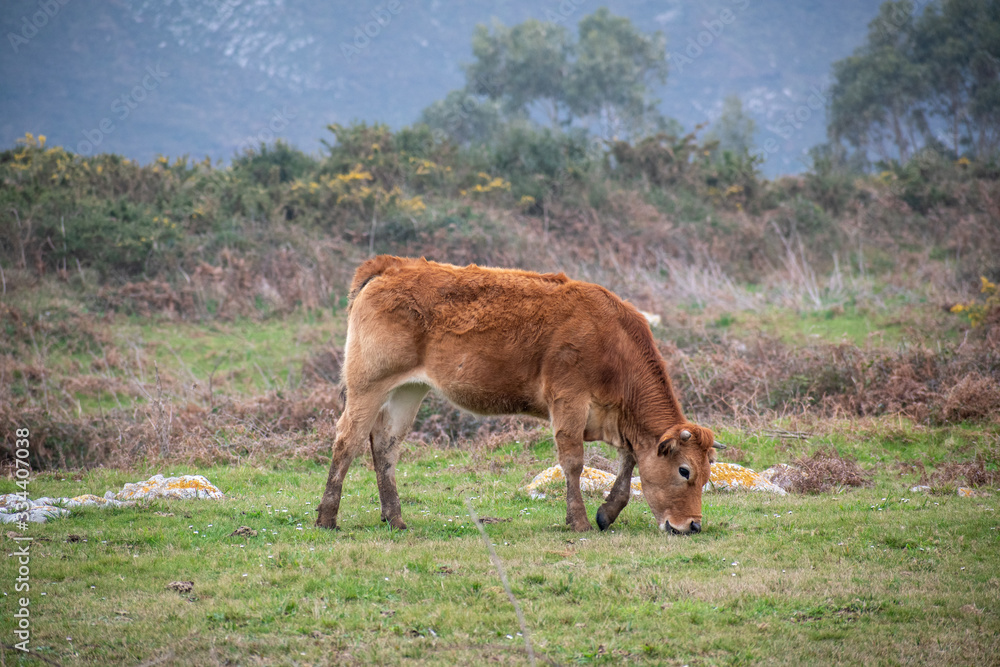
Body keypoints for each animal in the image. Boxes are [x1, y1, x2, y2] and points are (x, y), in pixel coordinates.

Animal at [315, 256, 719, 534]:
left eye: (706, 475)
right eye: (684, 471)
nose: (692, 526)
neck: (613, 341)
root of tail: (391, 265)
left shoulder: (615, 417)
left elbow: (629, 461)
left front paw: (607, 512)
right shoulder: (568, 400)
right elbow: (573, 461)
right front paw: (579, 521)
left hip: (408, 390)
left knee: (386, 444)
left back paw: (395, 518)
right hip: (368, 383)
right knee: (347, 438)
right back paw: (327, 518)